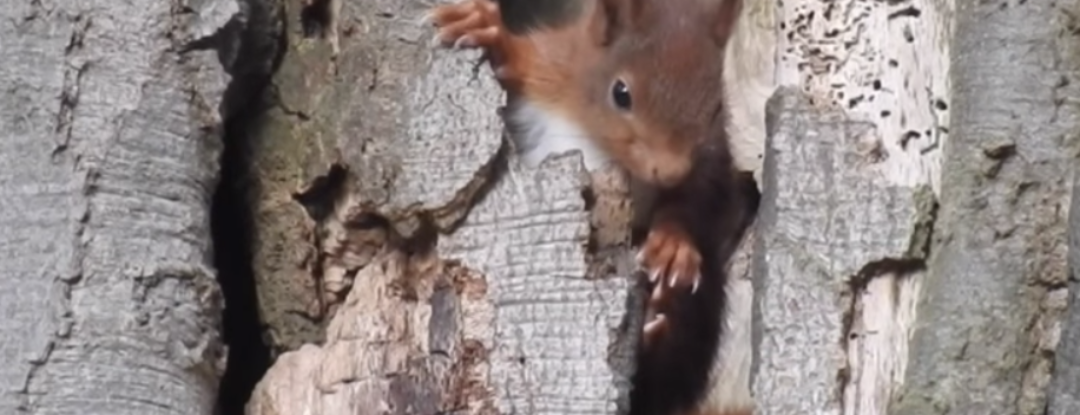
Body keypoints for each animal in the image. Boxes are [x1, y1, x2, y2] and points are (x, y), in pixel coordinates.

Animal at [425, 0, 756, 415]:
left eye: (716, 107)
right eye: (621, 93)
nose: (669, 170)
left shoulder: (712, 164)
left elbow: (694, 205)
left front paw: (673, 245)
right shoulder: (553, 73)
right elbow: (525, 64)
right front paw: (487, 30)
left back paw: (657, 318)